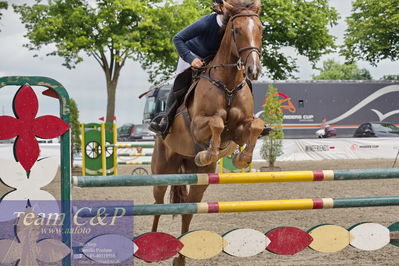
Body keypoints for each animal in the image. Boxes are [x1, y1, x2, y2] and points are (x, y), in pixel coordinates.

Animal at [152, 0, 264, 264]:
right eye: (236, 31)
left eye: (261, 29)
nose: (253, 70)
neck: (229, 83)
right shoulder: (198, 125)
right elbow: (217, 124)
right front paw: (208, 152)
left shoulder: (240, 129)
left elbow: (255, 126)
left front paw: (241, 158)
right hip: (162, 171)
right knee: (158, 204)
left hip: (198, 182)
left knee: (187, 210)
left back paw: (180, 257)